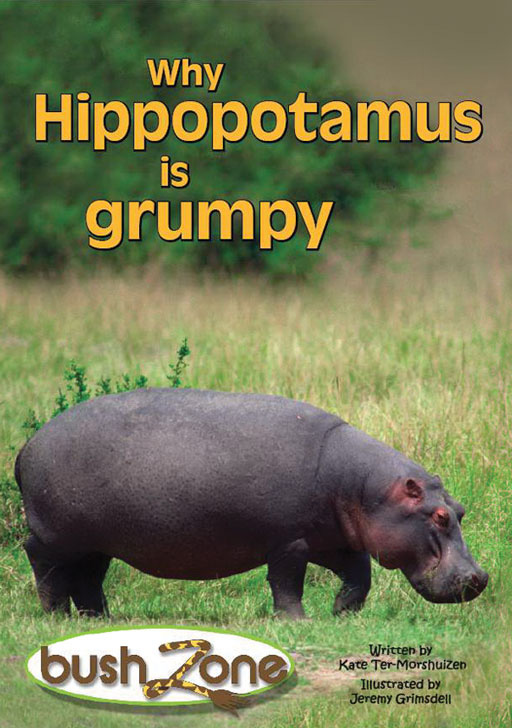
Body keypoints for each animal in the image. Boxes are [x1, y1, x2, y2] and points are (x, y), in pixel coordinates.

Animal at [15, 388, 488, 618]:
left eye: (461, 510)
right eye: (439, 515)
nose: (479, 578)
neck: (364, 488)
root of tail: (28, 446)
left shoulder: (335, 538)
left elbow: (360, 577)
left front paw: (341, 615)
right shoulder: (289, 541)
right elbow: (287, 583)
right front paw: (298, 621)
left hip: (96, 542)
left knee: (88, 578)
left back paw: (100, 618)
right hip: (56, 536)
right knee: (45, 564)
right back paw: (56, 615)